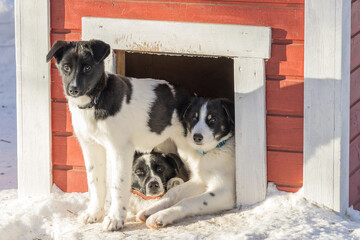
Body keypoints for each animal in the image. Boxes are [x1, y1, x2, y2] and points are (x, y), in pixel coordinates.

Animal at [46, 39, 193, 231]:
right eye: (66, 67)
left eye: (87, 68)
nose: (73, 89)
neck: (95, 101)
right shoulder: (91, 146)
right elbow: (95, 182)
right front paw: (94, 214)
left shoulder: (120, 149)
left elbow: (118, 185)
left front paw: (115, 219)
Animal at [136, 98, 236, 229]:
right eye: (194, 118)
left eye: (213, 120)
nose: (197, 137)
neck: (209, 152)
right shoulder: (200, 180)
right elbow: (173, 192)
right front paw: (151, 209)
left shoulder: (225, 192)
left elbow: (188, 201)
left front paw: (161, 215)